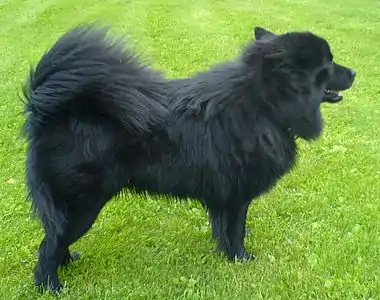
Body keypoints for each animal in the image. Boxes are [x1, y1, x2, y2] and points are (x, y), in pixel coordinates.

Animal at [21, 23, 356, 290]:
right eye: (328, 64)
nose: (354, 72)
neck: (264, 104)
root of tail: (47, 110)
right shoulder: (237, 195)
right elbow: (236, 230)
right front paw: (241, 258)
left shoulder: (224, 197)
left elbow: (223, 228)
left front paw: (225, 253)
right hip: (82, 205)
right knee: (48, 246)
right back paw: (51, 285)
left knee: (54, 236)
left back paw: (67, 262)